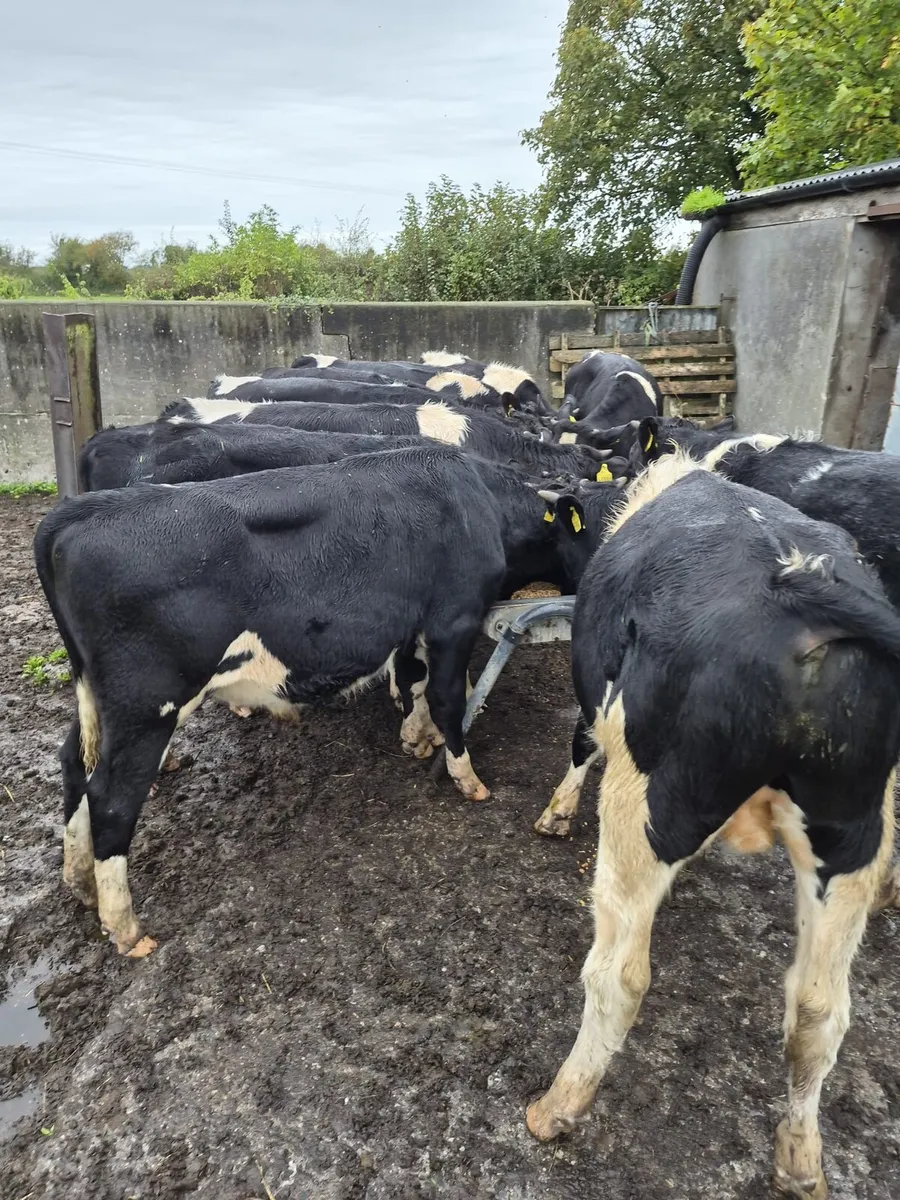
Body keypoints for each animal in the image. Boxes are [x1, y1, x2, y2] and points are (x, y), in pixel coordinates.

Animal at [35, 445, 602, 959]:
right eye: (597, 528)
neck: (478, 497)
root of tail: (79, 512)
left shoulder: (411, 627)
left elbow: (413, 682)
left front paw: (416, 738)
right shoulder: (453, 620)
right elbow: (447, 699)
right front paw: (465, 777)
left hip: (99, 701)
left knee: (74, 766)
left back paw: (80, 881)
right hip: (147, 707)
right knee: (110, 799)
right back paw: (126, 927)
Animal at [526, 452, 900, 1198]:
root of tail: (797, 584)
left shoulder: (599, 711)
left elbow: (579, 745)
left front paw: (555, 812)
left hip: (643, 804)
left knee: (619, 976)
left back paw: (558, 1105)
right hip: (853, 834)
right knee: (819, 1009)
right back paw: (800, 1159)